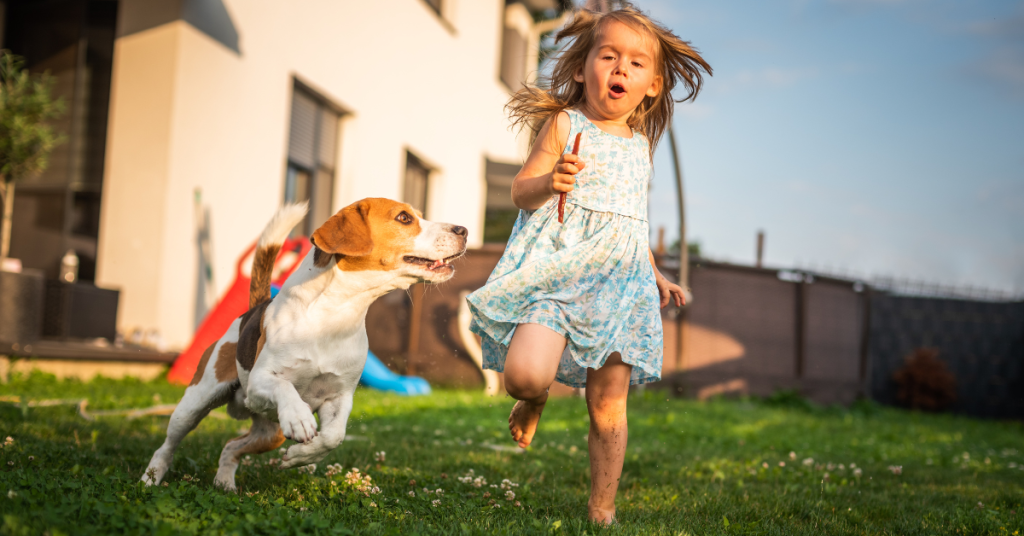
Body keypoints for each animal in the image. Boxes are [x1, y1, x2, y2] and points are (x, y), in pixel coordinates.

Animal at [141, 196, 468, 489]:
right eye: (404, 218)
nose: (463, 230)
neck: (335, 313)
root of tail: (252, 310)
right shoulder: (261, 380)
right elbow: (286, 388)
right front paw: (300, 420)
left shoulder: (339, 396)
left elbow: (333, 437)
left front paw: (301, 456)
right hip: (196, 403)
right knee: (167, 445)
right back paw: (151, 478)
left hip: (269, 433)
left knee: (231, 446)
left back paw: (224, 482)